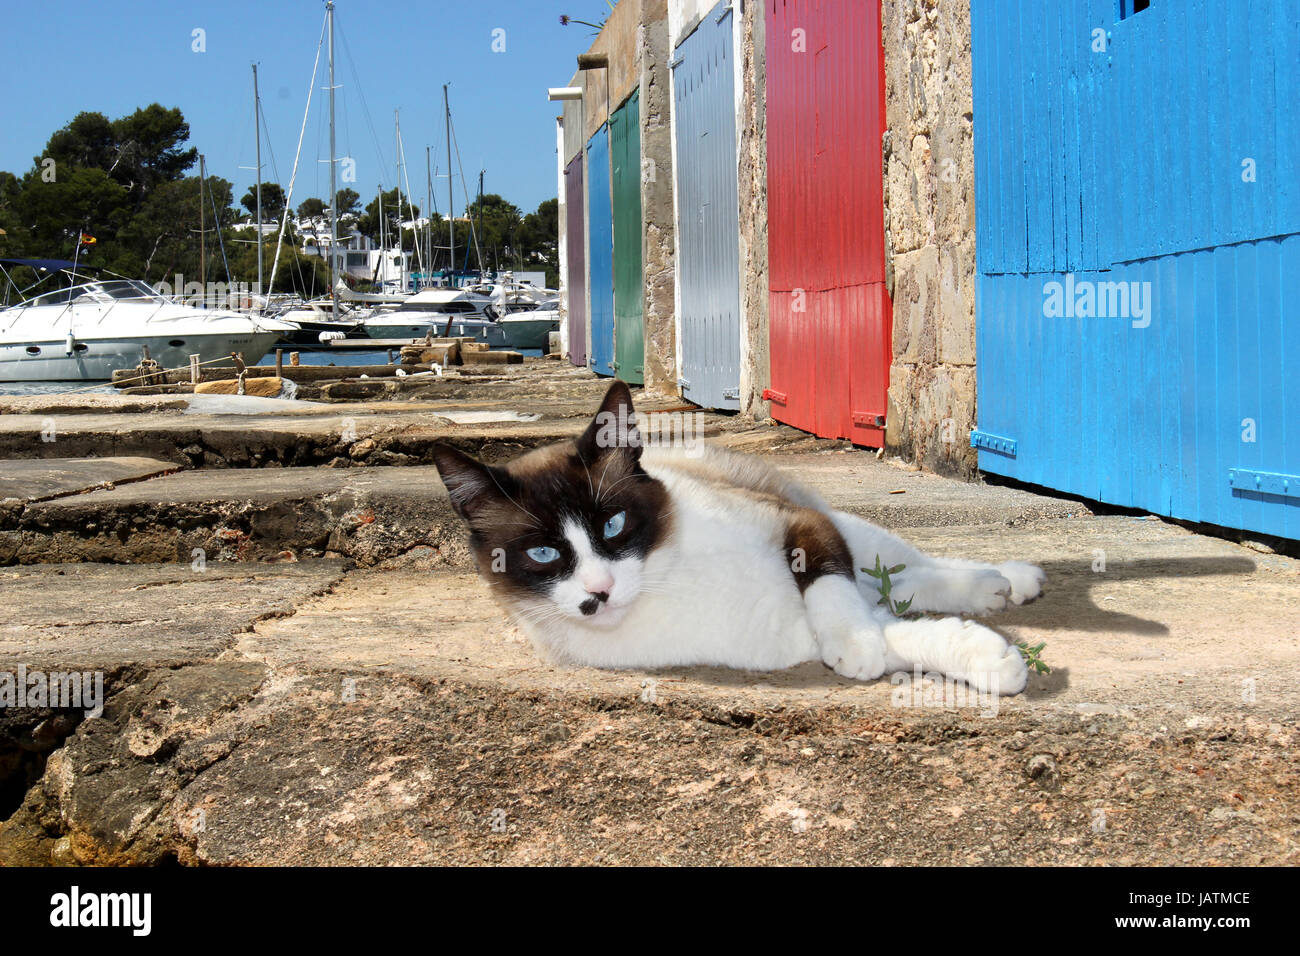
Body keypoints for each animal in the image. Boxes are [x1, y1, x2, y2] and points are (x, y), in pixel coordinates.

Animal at [431, 379, 1050, 697]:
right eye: (543, 554)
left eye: (613, 525)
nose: (599, 592)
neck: (664, 584)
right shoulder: (790, 640)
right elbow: (899, 636)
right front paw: (987, 661)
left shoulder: (797, 524)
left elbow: (830, 585)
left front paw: (858, 646)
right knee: (896, 589)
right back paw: (995, 590)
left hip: (834, 518)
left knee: (905, 565)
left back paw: (1007, 580)